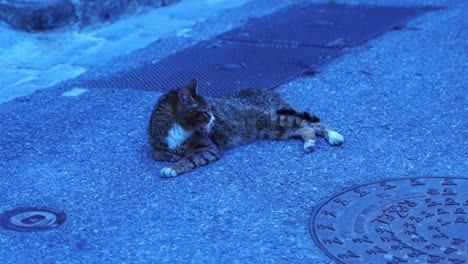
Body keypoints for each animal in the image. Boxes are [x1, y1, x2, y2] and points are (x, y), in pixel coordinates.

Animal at [150, 79, 344, 177]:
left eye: (211, 110)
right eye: (206, 112)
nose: (214, 119)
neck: (177, 129)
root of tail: (267, 90)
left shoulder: (208, 148)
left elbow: (189, 158)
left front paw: (173, 167)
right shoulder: (156, 143)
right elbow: (157, 153)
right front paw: (171, 156)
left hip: (275, 118)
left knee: (314, 124)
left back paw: (333, 136)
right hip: (273, 130)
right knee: (304, 128)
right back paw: (309, 143)